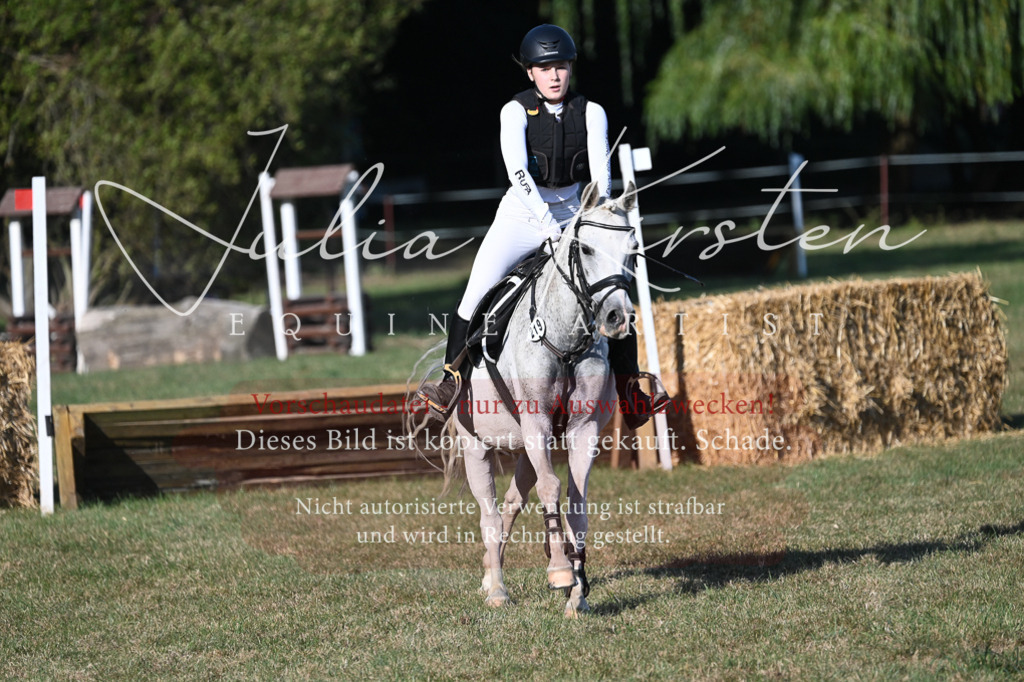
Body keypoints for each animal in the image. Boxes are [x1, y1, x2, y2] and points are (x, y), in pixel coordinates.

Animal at [410, 181, 639, 617]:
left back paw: (490, 575)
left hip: (527, 449)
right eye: (586, 249)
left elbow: (576, 503)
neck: (566, 341)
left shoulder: (581, 430)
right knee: (489, 515)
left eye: (632, 250)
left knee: (512, 503)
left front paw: (578, 596)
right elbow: (551, 488)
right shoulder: (536, 423)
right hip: (478, 446)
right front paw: (561, 573)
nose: (618, 319)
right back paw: (498, 590)